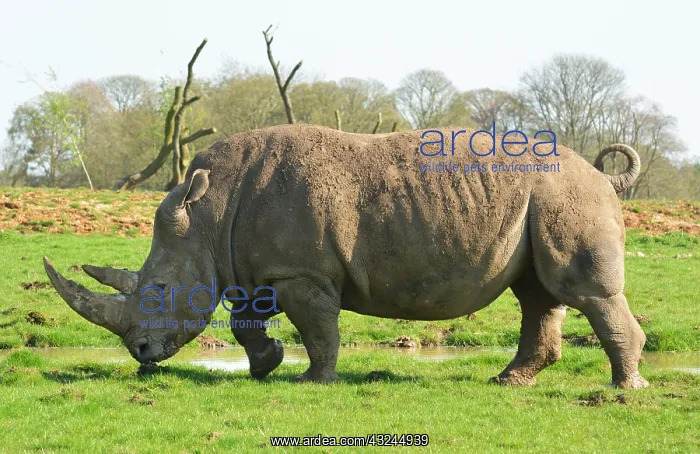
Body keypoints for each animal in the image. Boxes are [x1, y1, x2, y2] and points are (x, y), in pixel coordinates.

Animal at [43, 124, 648, 388]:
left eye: (160, 291)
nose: (140, 352)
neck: (208, 214)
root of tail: (602, 176)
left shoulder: (302, 272)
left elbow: (319, 328)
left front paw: (314, 381)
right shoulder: (256, 268)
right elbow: (244, 322)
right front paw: (265, 366)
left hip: (565, 195)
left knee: (580, 290)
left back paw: (624, 389)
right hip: (540, 201)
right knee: (536, 294)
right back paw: (510, 382)